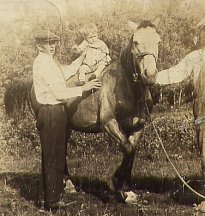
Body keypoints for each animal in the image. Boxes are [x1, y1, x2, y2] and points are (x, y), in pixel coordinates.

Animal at [5, 19, 162, 202]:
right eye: (136, 42)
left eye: (158, 42)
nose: (150, 75)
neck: (125, 88)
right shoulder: (109, 123)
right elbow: (127, 148)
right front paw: (114, 185)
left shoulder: (137, 127)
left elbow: (130, 152)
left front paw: (127, 191)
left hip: (66, 126)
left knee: (62, 148)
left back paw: (68, 184)